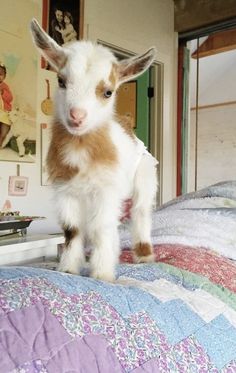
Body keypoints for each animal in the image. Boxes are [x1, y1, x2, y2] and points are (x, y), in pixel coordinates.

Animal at [30, 17, 158, 280]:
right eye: (61, 81)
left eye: (108, 92)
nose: (77, 116)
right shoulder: (65, 189)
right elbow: (72, 230)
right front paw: (68, 268)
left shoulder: (106, 189)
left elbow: (101, 228)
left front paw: (101, 274)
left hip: (145, 174)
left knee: (141, 212)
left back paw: (144, 256)